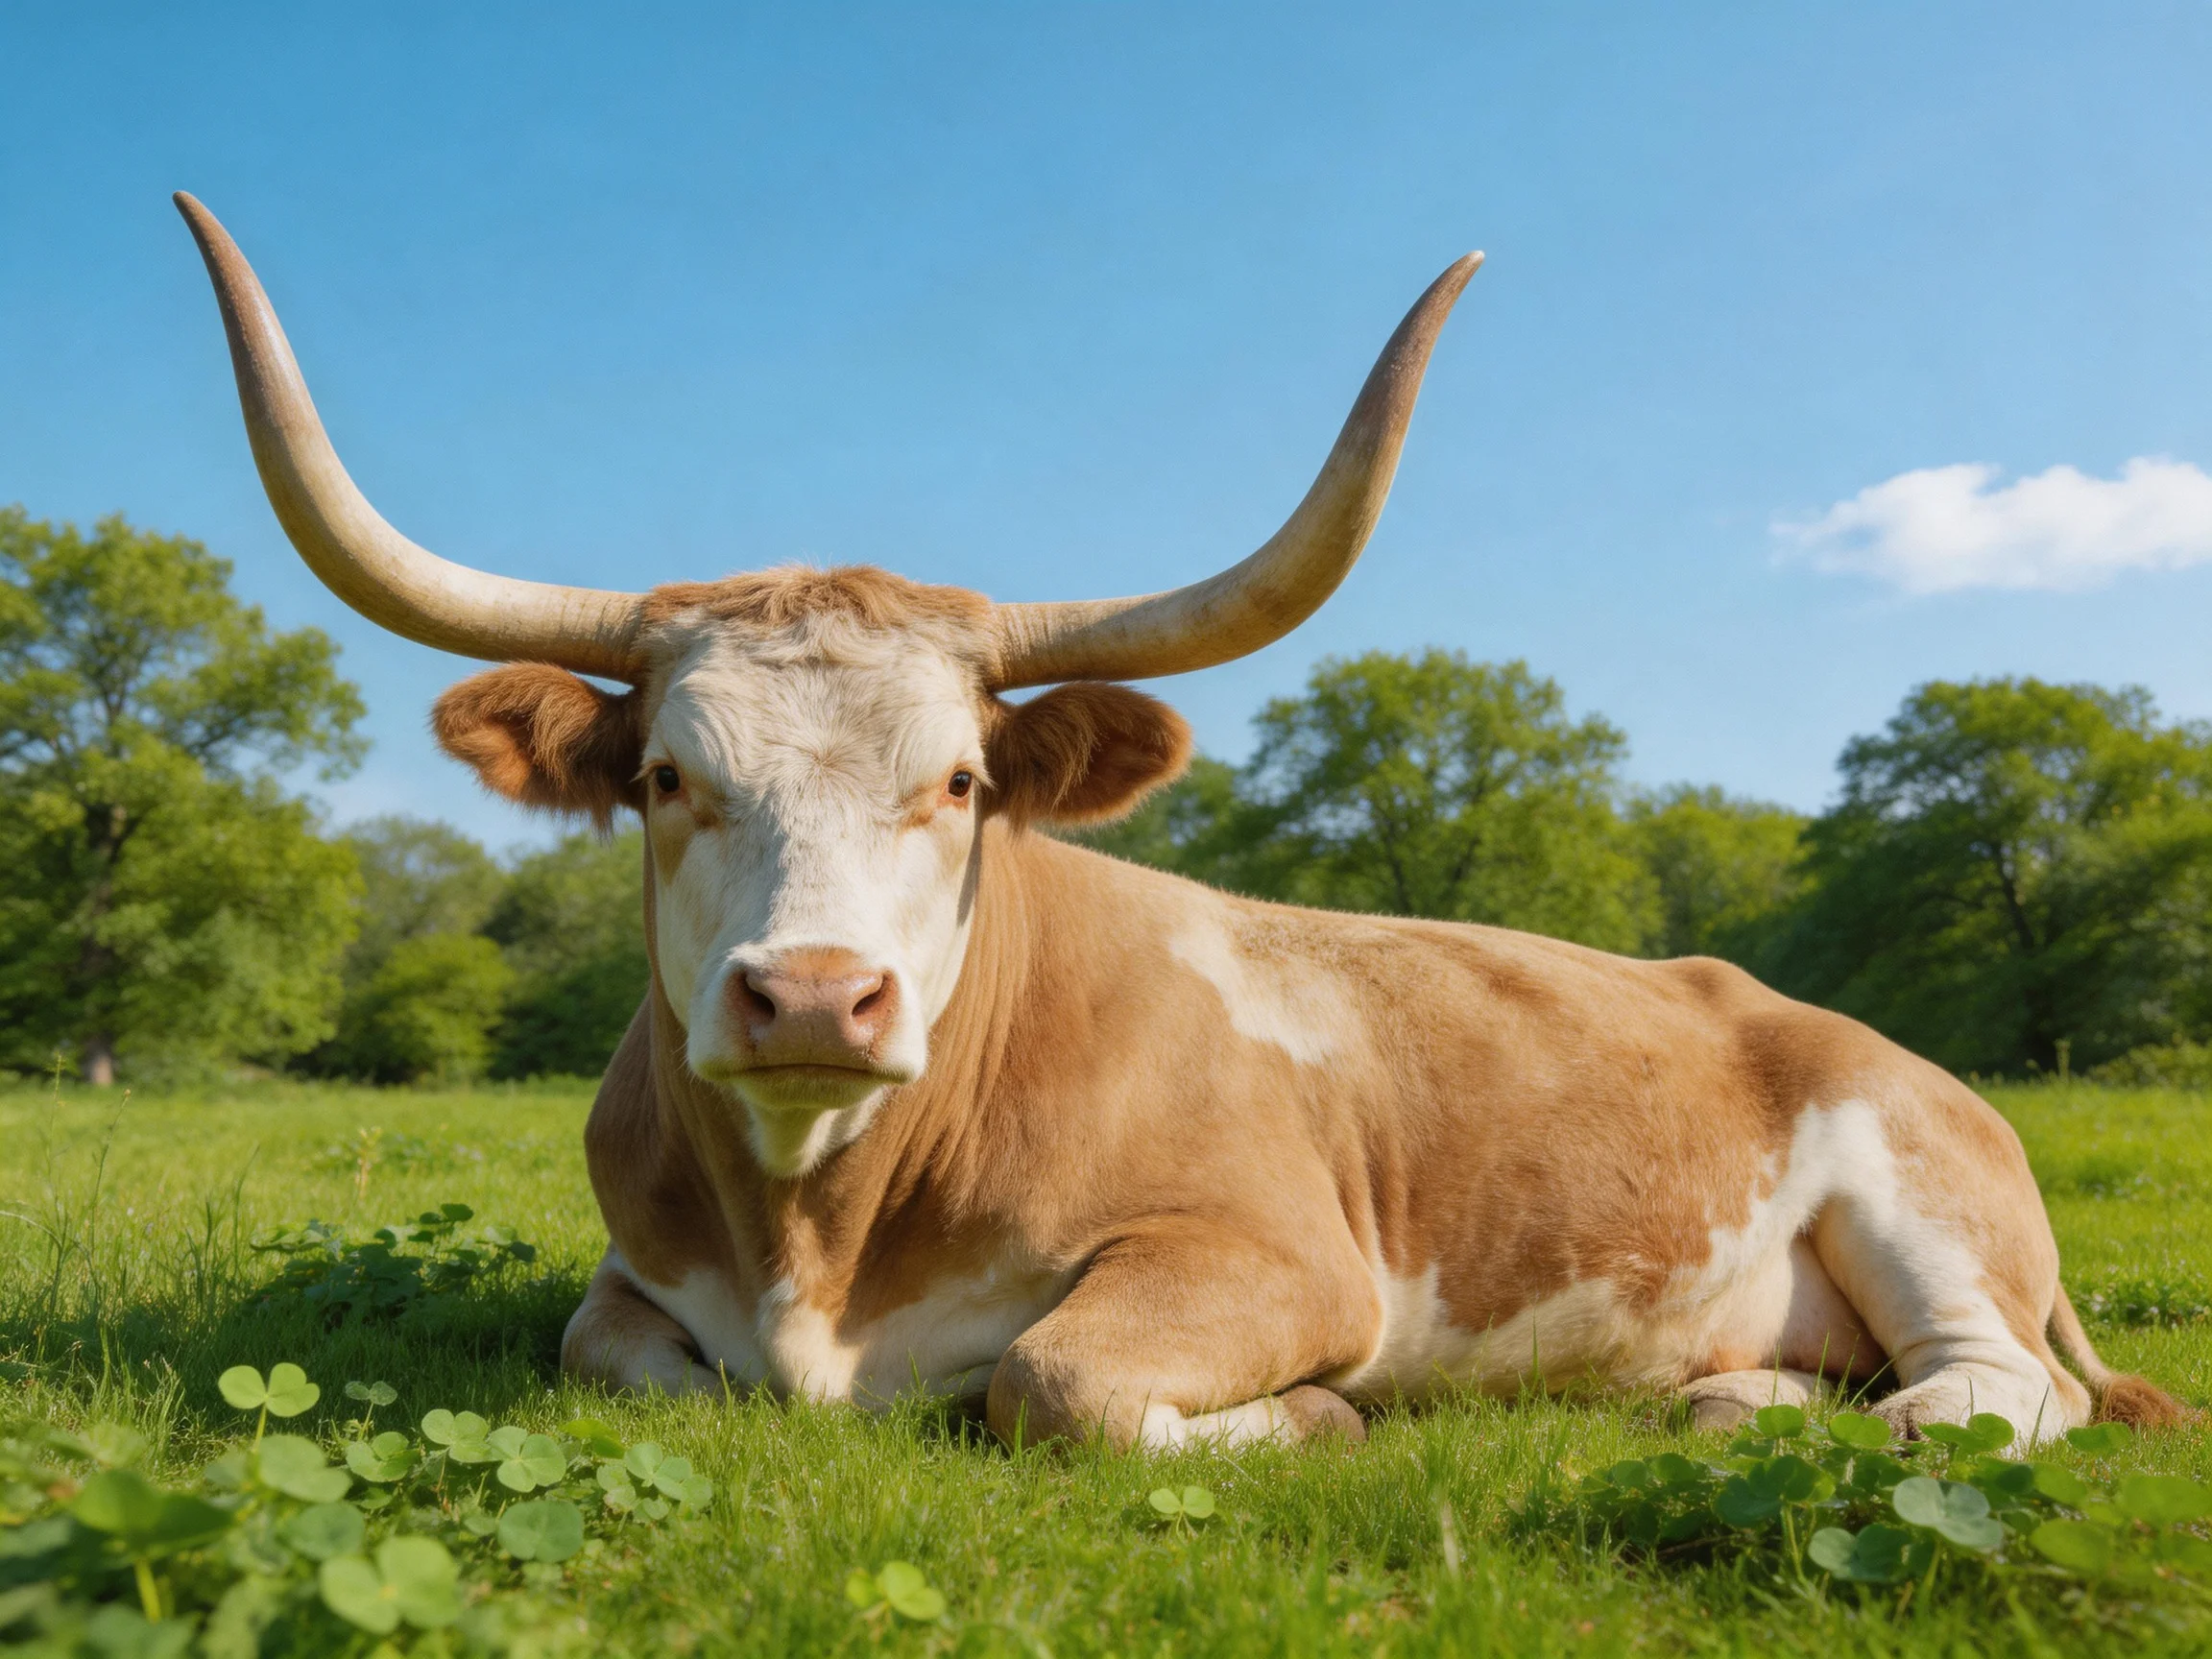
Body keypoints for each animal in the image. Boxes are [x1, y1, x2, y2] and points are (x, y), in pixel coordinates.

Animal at [178, 192, 2186, 1451]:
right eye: (668, 776)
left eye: (961, 782)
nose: (813, 996)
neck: (818, 1238)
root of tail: (1796, 1009)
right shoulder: (628, 1289)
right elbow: (606, 1354)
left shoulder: (1273, 1257)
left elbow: (1052, 1382)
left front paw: (1312, 1416)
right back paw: (1724, 1392)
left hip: (1921, 1200)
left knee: (1998, 1386)